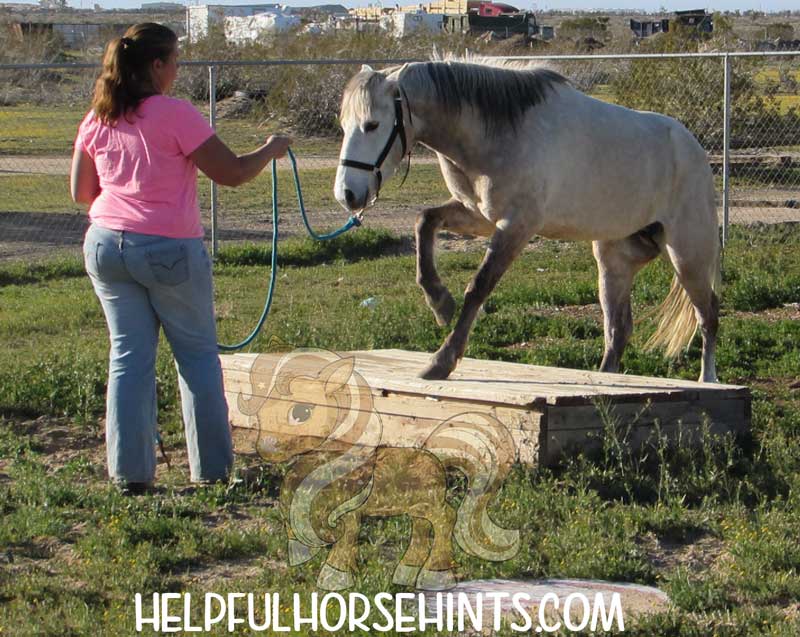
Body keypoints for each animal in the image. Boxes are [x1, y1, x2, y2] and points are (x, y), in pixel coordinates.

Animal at [334, 57, 720, 380]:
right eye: (344, 125)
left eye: (372, 124)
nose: (347, 194)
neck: (498, 130)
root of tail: (695, 149)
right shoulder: (478, 216)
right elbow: (424, 221)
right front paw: (439, 302)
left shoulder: (516, 226)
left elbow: (479, 287)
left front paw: (441, 361)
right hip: (614, 260)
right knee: (618, 329)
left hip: (687, 256)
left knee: (708, 314)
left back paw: (708, 381)